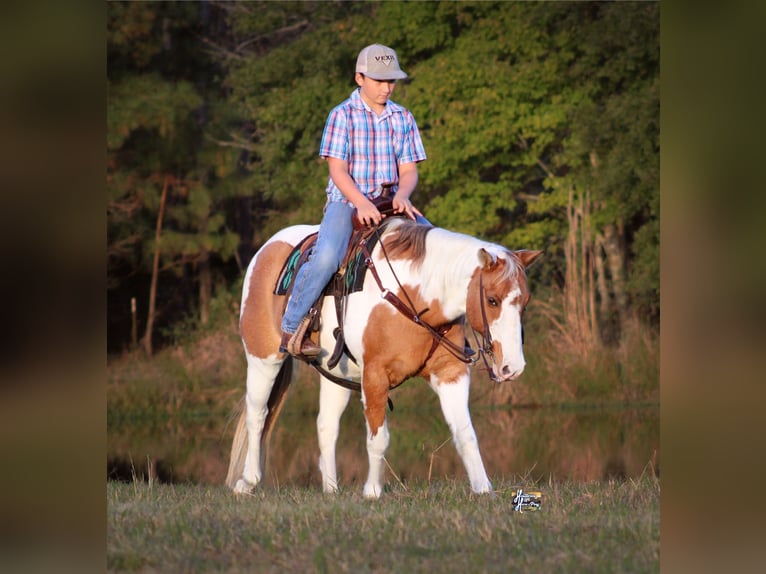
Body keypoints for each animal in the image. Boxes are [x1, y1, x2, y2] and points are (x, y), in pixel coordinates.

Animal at [225, 220, 544, 500]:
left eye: (525, 302)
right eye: (491, 300)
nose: (513, 368)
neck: (413, 297)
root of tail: (267, 247)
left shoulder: (450, 374)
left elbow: (465, 433)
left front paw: (483, 489)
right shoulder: (375, 377)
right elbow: (378, 437)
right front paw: (373, 492)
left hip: (337, 376)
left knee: (326, 425)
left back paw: (331, 489)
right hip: (263, 359)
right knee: (258, 415)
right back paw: (247, 481)